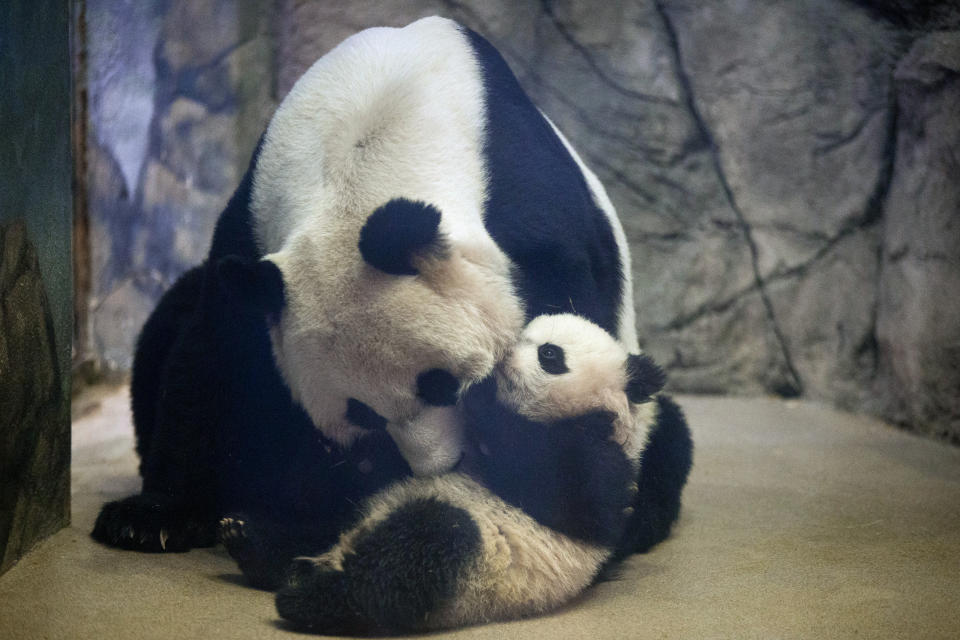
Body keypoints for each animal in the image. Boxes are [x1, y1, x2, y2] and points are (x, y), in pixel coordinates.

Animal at [92, 16, 636, 560]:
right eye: (363, 414)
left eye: (444, 384)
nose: (440, 466)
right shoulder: (253, 220)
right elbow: (212, 350)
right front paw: (150, 518)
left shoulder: (525, 204)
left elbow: (566, 323)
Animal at [276, 312, 688, 632]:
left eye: (549, 353)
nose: (501, 350)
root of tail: (342, 551)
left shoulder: (596, 457)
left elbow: (567, 491)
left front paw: (479, 391)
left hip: (474, 566)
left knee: (417, 554)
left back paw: (308, 598)